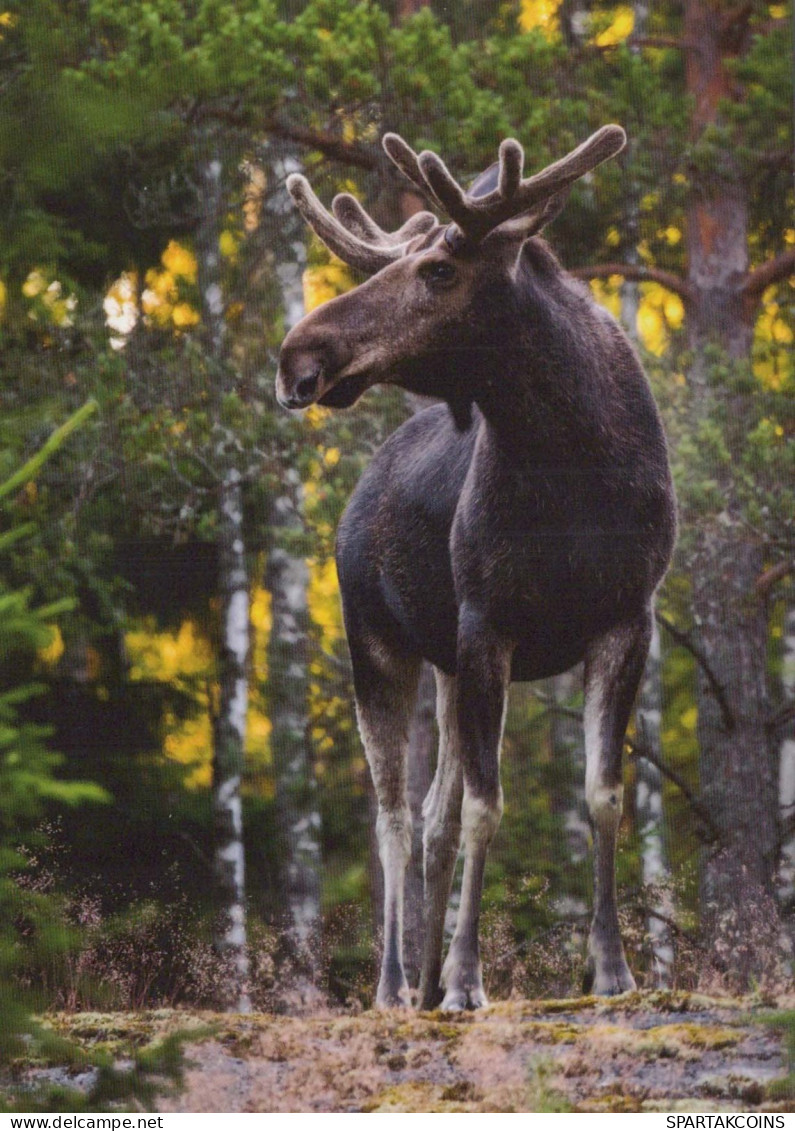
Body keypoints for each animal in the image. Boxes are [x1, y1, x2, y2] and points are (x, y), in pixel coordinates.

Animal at [277, 128, 673, 1013]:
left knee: (430, 813)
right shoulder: (487, 620)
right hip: (376, 641)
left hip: (445, 661)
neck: (572, 468)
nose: (296, 354)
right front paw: (465, 979)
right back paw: (398, 983)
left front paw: (611, 969)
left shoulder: (625, 615)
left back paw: (421, 979)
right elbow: (488, 808)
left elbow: (601, 792)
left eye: (437, 269)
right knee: (393, 817)